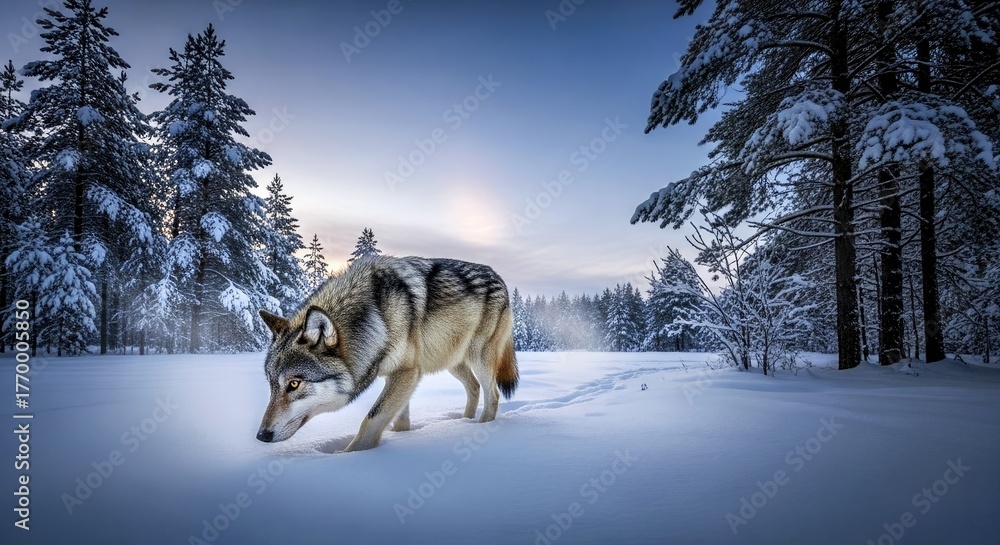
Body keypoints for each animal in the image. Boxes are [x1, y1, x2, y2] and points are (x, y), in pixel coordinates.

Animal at [255, 255, 519, 452]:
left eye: (294, 384)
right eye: (271, 385)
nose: (261, 436)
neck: (376, 316)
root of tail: (499, 276)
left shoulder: (407, 373)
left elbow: (371, 419)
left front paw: (348, 456)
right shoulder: (397, 375)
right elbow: (398, 420)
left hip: (478, 357)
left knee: (493, 394)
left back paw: (479, 428)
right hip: (451, 361)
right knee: (474, 387)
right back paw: (464, 422)